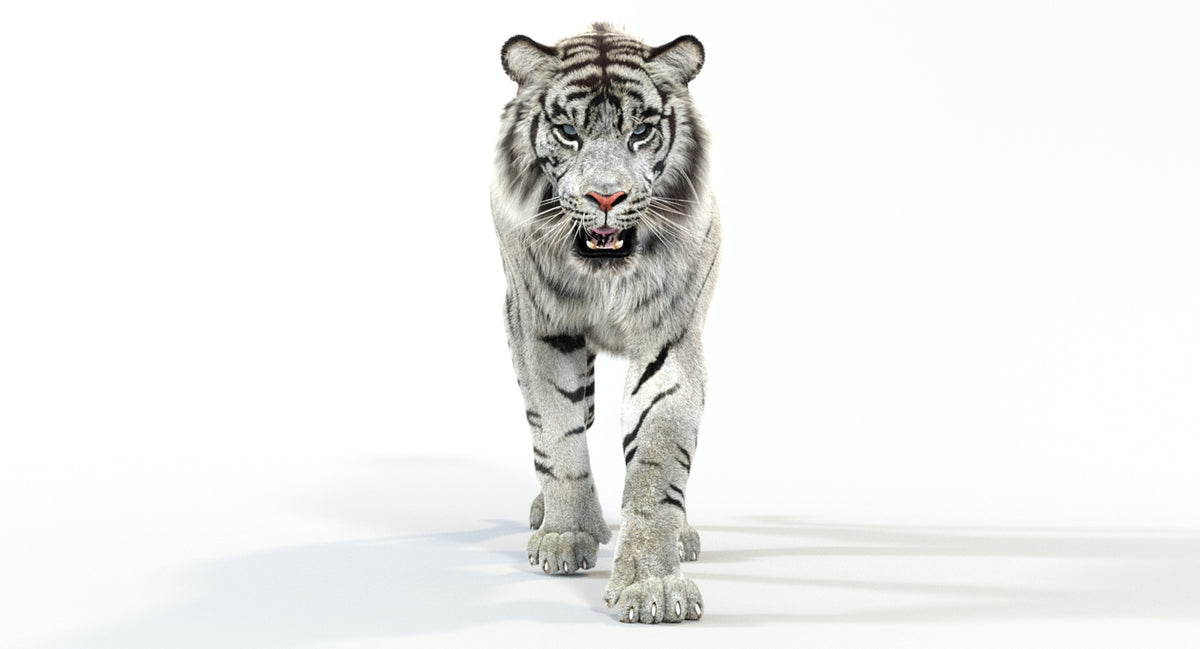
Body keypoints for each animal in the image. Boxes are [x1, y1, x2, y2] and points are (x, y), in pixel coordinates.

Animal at [490, 23, 720, 624]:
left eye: (640, 131)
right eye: (568, 132)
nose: (606, 196)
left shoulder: (669, 338)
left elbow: (658, 461)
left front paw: (653, 586)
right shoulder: (542, 329)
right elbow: (558, 435)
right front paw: (566, 537)